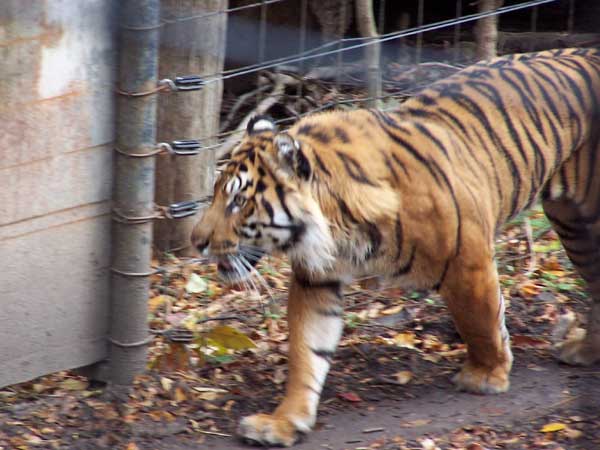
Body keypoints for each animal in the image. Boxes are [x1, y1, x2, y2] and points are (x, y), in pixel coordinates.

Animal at [191, 47, 600, 444]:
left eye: (238, 201)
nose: (196, 241)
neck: (337, 226)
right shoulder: (315, 279)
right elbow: (307, 352)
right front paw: (283, 422)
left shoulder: (467, 259)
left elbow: (479, 322)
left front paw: (486, 375)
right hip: (573, 225)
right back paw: (584, 351)